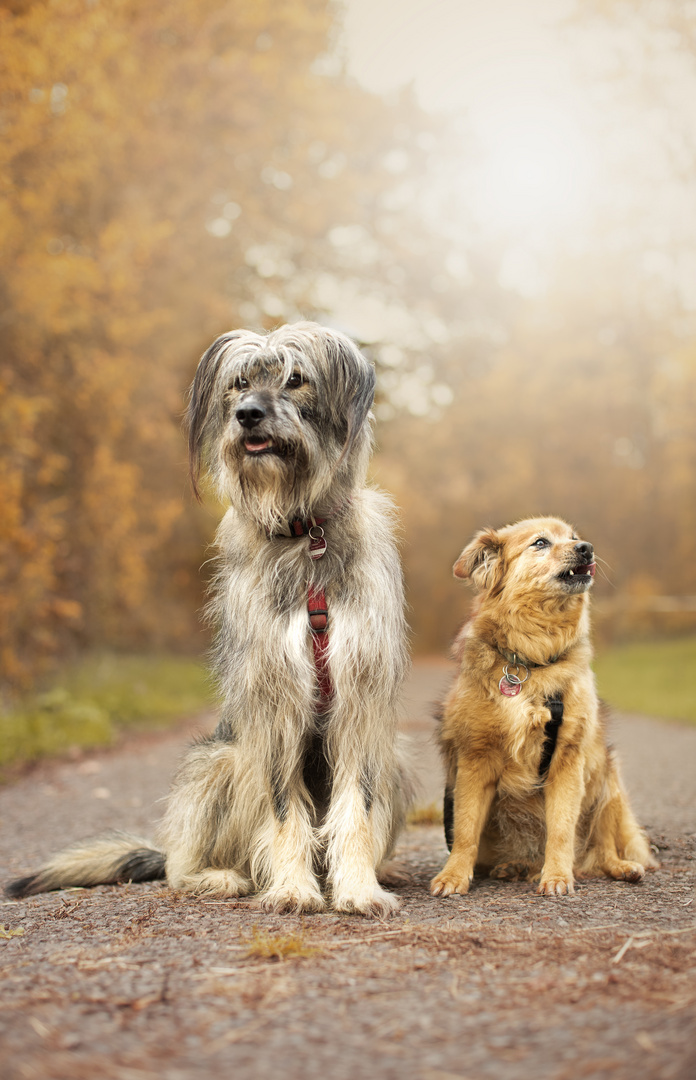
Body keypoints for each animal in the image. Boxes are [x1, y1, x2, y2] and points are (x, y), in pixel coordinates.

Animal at [6, 321, 412, 920]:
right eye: (239, 383)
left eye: (295, 378)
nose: (248, 414)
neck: (304, 534)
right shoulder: (272, 699)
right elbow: (282, 807)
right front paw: (293, 888)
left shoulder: (361, 699)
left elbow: (357, 805)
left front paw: (359, 887)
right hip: (217, 760)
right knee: (180, 866)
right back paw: (222, 876)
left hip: (396, 758)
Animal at [430, 514, 657, 894]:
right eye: (540, 542)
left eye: (574, 537)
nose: (587, 548)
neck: (531, 660)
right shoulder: (475, 758)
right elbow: (464, 829)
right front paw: (454, 875)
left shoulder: (568, 759)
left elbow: (562, 829)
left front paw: (557, 877)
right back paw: (516, 866)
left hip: (607, 779)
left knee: (603, 848)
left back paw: (621, 868)